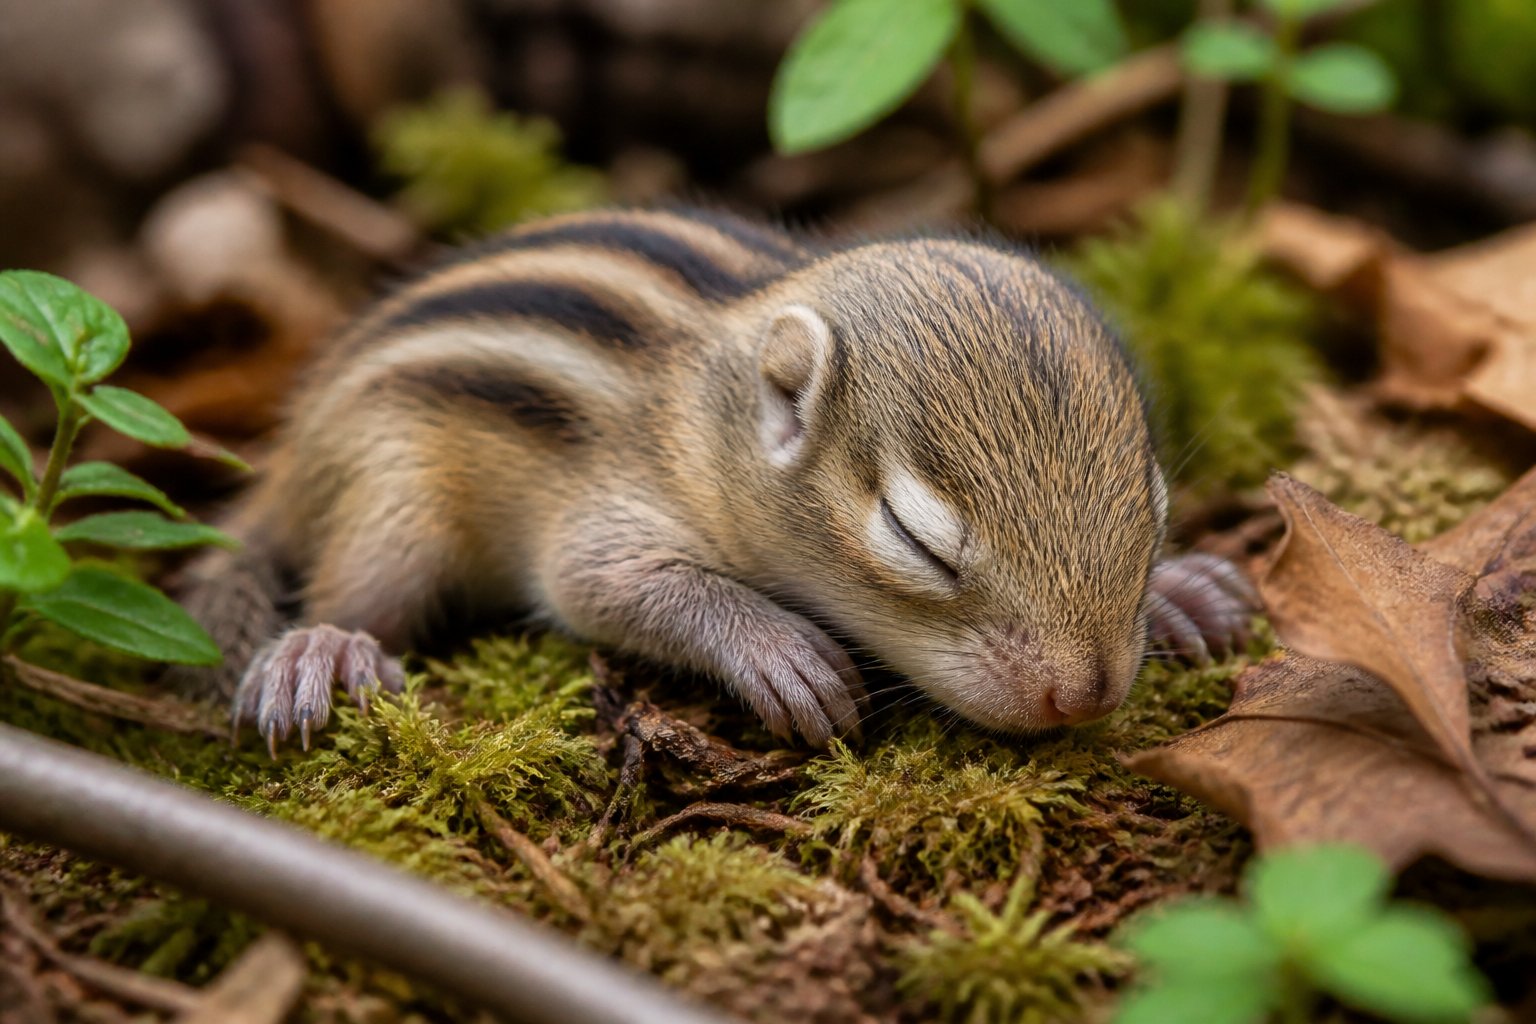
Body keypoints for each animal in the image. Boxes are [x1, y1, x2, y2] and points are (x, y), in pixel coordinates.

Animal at [176, 206, 1255, 754]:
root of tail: (293, 450)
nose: (1086, 694)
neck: (706, 412)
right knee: (358, 587)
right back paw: (321, 649)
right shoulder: (609, 513)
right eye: (915, 539)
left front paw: (1186, 589)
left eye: (1154, 509)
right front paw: (782, 651)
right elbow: (615, 584)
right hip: (394, 493)